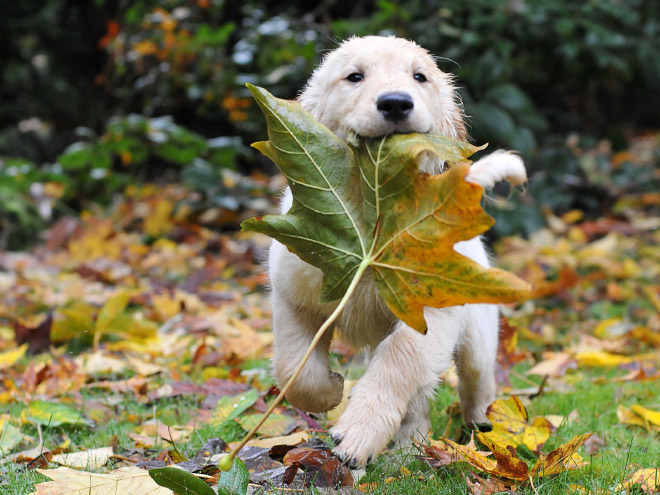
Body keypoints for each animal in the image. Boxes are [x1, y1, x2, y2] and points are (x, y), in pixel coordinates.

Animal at [266, 35, 524, 468]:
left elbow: (400, 359)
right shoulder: (293, 295)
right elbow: (295, 369)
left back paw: (480, 431)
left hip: (477, 332)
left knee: (475, 382)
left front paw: (359, 431)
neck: (375, 212)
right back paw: (409, 446)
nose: (396, 103)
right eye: (354, 76)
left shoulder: (430, 312)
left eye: (419, 77)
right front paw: (330, 391)